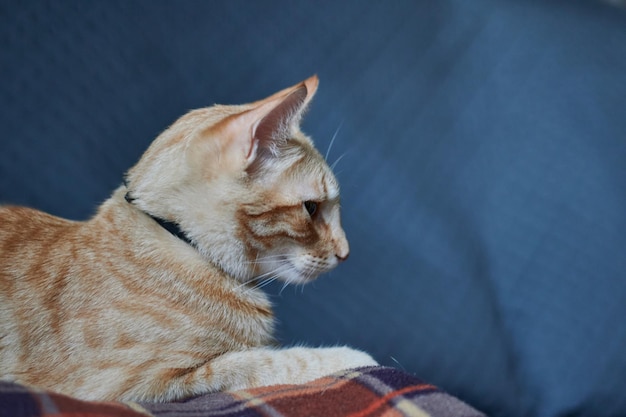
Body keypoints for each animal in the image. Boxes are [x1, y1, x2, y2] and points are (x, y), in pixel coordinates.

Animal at [0, 76, 376, 402]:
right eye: (311, 208)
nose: (346, 252)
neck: (185, 245)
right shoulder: (130, 387)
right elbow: (260, 361)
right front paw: (352, 357)